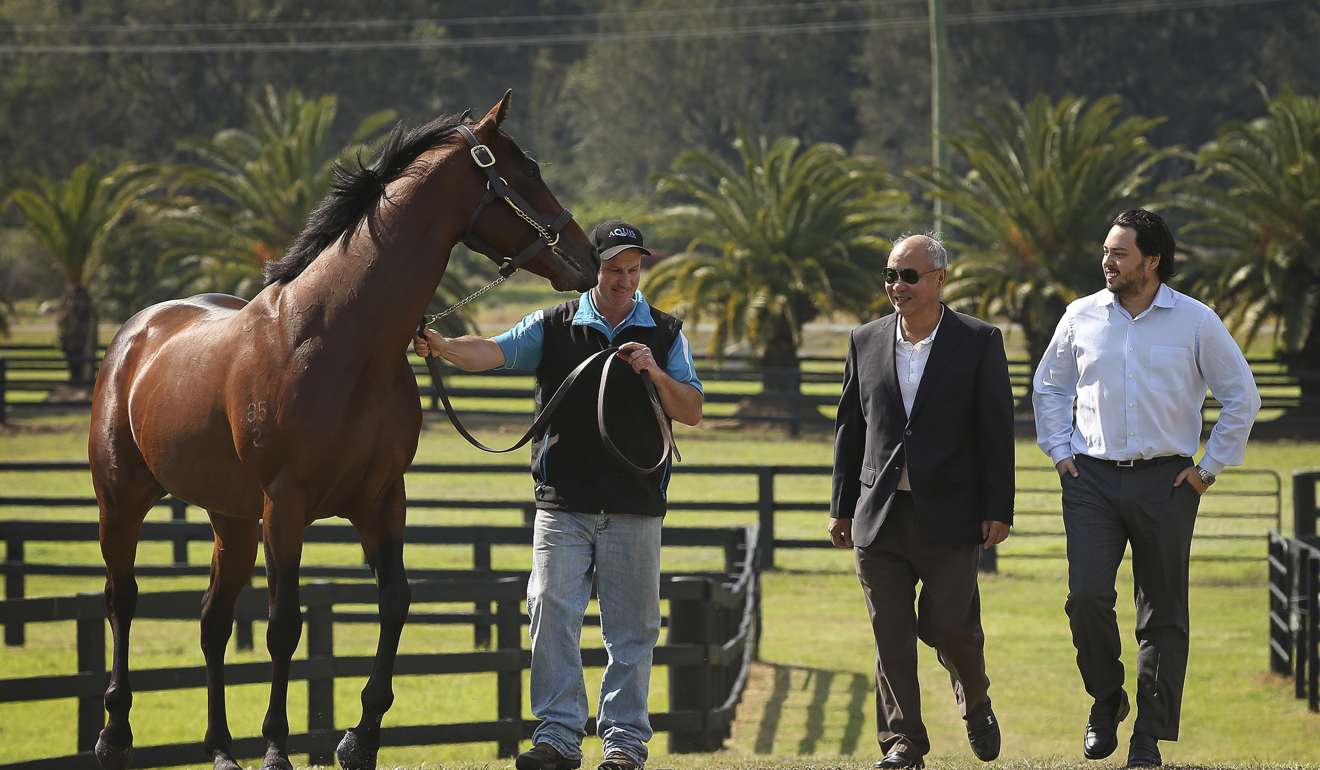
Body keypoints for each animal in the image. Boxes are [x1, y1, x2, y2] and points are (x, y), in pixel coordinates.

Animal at [86, 91, 594, 770]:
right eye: (527, 170)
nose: (589, 258)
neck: (337, 339)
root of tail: (134, 335)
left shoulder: (380, 499)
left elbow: (396, 601)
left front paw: (360, 739)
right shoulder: (286, 506)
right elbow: (284, 625)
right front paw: (278, 746)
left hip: (231, 519)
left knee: (213, 622)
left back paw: (221, 749)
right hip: (123, 500)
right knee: (123, 599)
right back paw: (114, 734)